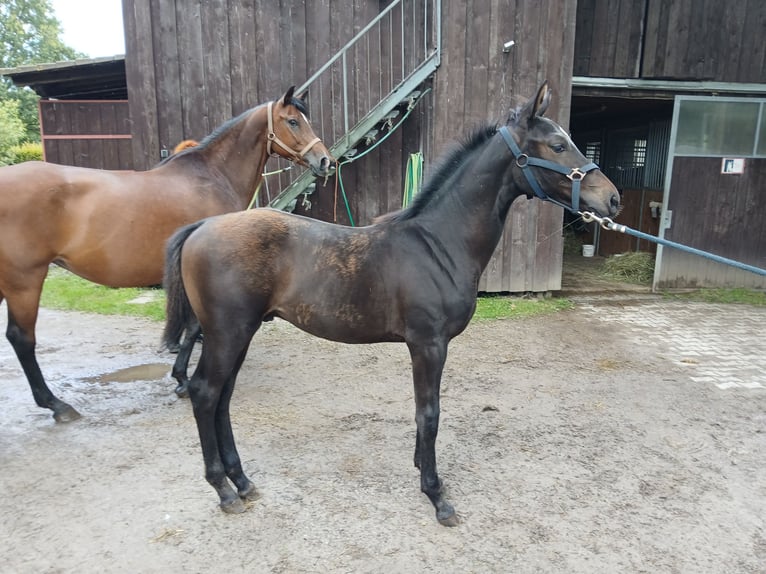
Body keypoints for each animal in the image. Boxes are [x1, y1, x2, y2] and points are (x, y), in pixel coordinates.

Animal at [0, 88, 336, 426]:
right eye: (293, 121)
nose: (326, 160)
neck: (212, 177)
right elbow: (193, 327)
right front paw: (182, 380)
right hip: (24, 280)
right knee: (22, 338)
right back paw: (56, 404)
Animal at [164, 83, 624, 528]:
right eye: (558, 145)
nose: (613, 200)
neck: (438, 244)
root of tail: (201, 226)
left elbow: (425, 413)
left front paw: (423, 468)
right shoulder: (428, 344)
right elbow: (429, 413)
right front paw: (436, 495)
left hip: (241, 332)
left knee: (222, 397)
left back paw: (242, 482)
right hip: (227, 333)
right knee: (205, 393)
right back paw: (224, 490)